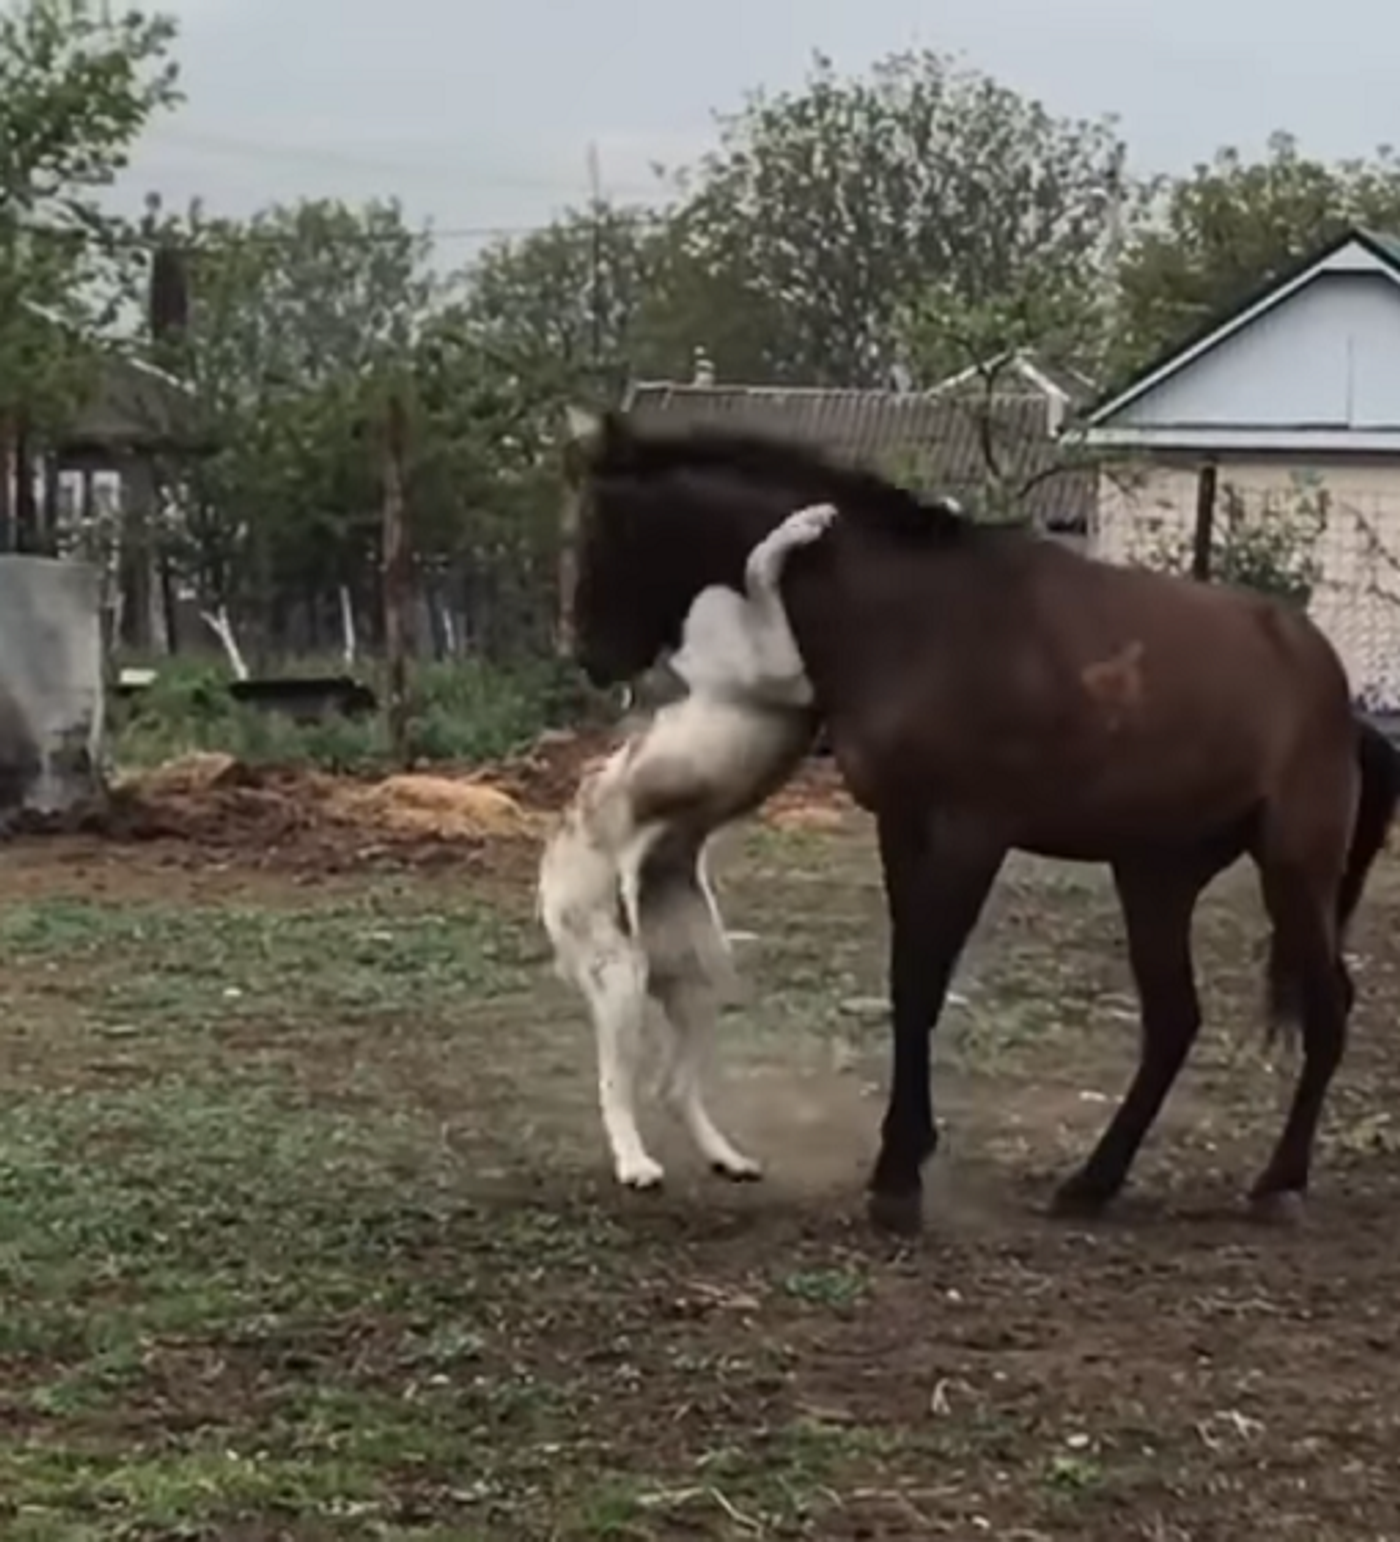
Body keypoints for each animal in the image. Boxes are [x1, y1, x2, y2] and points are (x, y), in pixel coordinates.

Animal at [539, 499, 844, 1184]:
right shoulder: (780, 663)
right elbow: (759, 567)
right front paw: (796, 528)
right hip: (620, 980)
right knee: (615, 1087)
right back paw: (634, 1162)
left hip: (703, 973)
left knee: (672, 1089)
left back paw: (724, 1156)